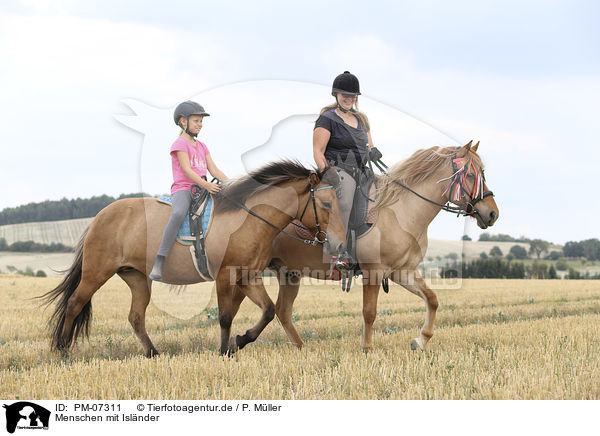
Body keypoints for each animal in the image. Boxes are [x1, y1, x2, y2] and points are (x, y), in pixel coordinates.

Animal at [39, 162, 346, 356]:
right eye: (326, 204)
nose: (338, 242)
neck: (249, 220)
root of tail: (98, 217)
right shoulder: (225, 275)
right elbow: (225, 316)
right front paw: (224, 351)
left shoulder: (247, 277)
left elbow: (268, 310)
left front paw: (240, 341)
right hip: (96, 272)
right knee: (74, 304)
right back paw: (62, 350)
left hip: (136, 277)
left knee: (136, 316)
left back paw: (152, 353)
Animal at [264, 141, 500, 352]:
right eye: (470, 175)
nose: (492, 213)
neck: (402, 211)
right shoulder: (373, 271)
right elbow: (369, 311)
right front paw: (367, 348)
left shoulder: (403, 271)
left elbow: (432, 299)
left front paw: (421, 340)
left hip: (289, 274)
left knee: (282, 311)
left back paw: (299, 347)